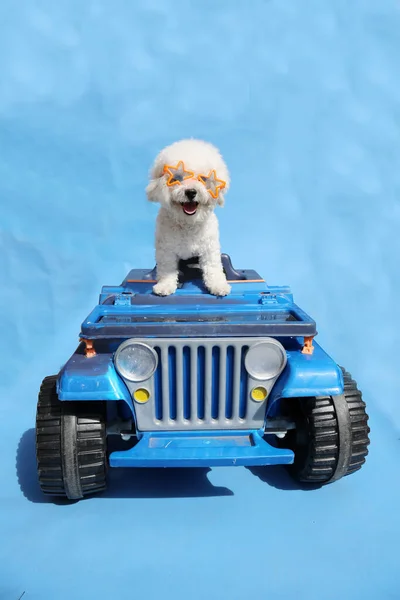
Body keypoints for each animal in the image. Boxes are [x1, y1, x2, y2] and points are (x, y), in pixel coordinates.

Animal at [146, 137, 231, 296]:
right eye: (177, 178)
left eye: (203, 179)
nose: (191, 192)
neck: (188, 223)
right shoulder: (166, 249)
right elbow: (167, 269)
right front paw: (165, 285)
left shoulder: (209, 248)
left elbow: (213, 268)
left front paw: (218, 285)